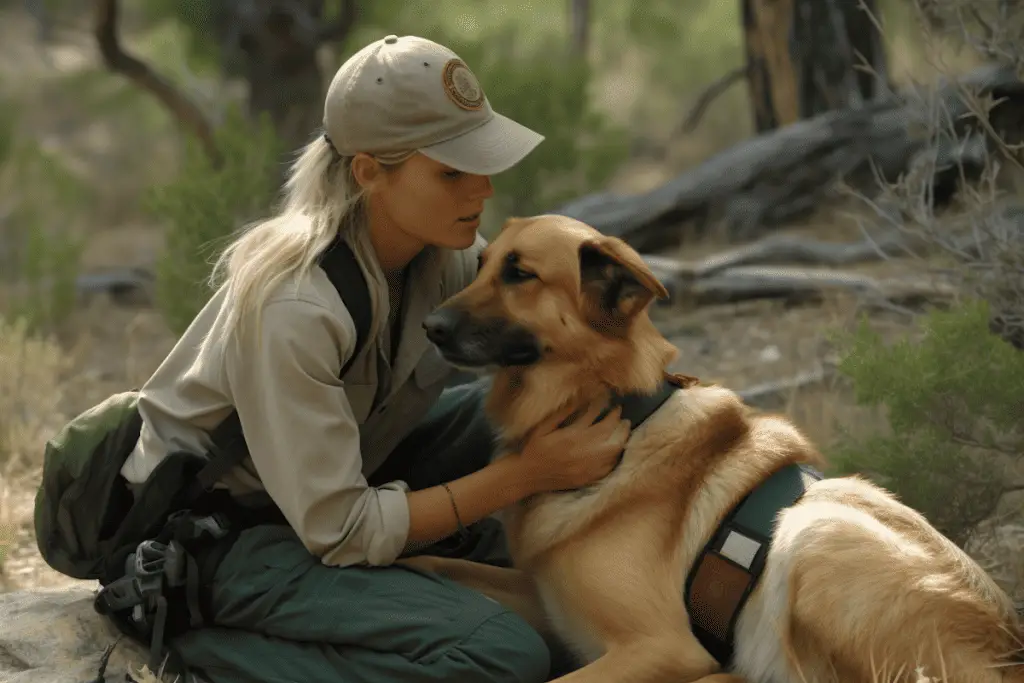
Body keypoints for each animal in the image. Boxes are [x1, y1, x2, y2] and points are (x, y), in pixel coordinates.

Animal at [403, 215, 1019, 683]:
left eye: (521, 274)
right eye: (482, 265)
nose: (429, 327)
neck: (624, 412)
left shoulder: (660, 647)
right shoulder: (551, 607)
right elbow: (432, 562)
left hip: (814, 531)